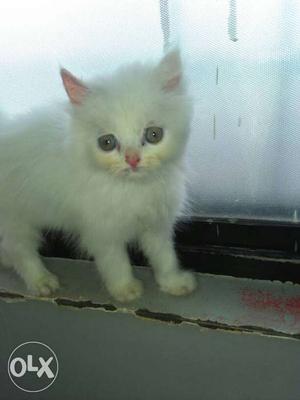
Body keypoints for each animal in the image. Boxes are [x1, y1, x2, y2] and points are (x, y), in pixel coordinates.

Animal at [0, 49, 197, 300]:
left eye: (154, 134)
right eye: (107, 143)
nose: (132, 159)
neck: (134, 188)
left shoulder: (157, 224)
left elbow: (164, 256)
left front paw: (173, 283)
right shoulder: (101, 230)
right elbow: (115, 262)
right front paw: (125, 289)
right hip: (15, 217)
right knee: (20, 248)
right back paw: (41, 281)